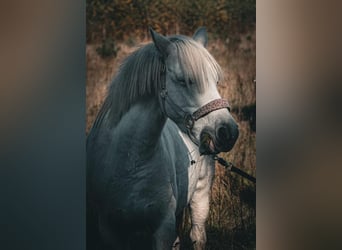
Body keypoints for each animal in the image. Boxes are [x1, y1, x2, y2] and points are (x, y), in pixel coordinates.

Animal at [87, 27, 239, 250]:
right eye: (183, 80)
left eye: (216, 81)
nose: (228, 132)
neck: (129, 161)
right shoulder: (109, 229)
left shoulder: (163, 228)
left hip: (201, 194)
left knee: (197, 234)